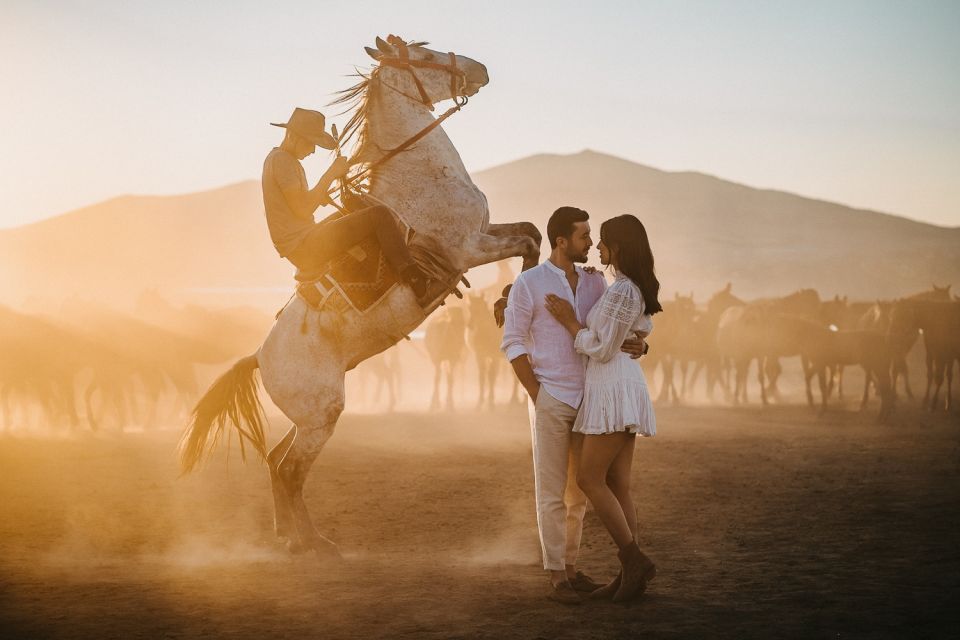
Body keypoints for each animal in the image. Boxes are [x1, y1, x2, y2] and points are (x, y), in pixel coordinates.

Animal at [180, 36, 540, 556]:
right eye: (424, 56)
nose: (480, 69)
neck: (421, 175)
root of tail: (258, 357)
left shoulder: (486, 232)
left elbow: (532, 232)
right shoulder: (468, 248)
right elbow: (529, 243)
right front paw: (510, 300)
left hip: (308, 418)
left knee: (275, 461)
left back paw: (289, 536)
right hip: (323, 415)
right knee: (290, 470)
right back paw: (313, 542)